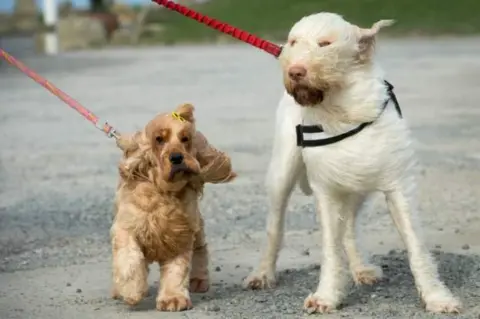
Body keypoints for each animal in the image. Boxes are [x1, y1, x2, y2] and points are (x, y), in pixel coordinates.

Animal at [244, 12, 462, 316]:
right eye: (293, 42)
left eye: (325, 43)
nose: (295, 71)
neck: (343, 110)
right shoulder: (326, 191)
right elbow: (330, 248)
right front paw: (326, 296)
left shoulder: (398, 186)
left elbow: (415, 245)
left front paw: (436, 297)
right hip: (282, 174)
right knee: (275, 227)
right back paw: (263, 273)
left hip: (358, 188)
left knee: (348, 228)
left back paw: (360, 268)